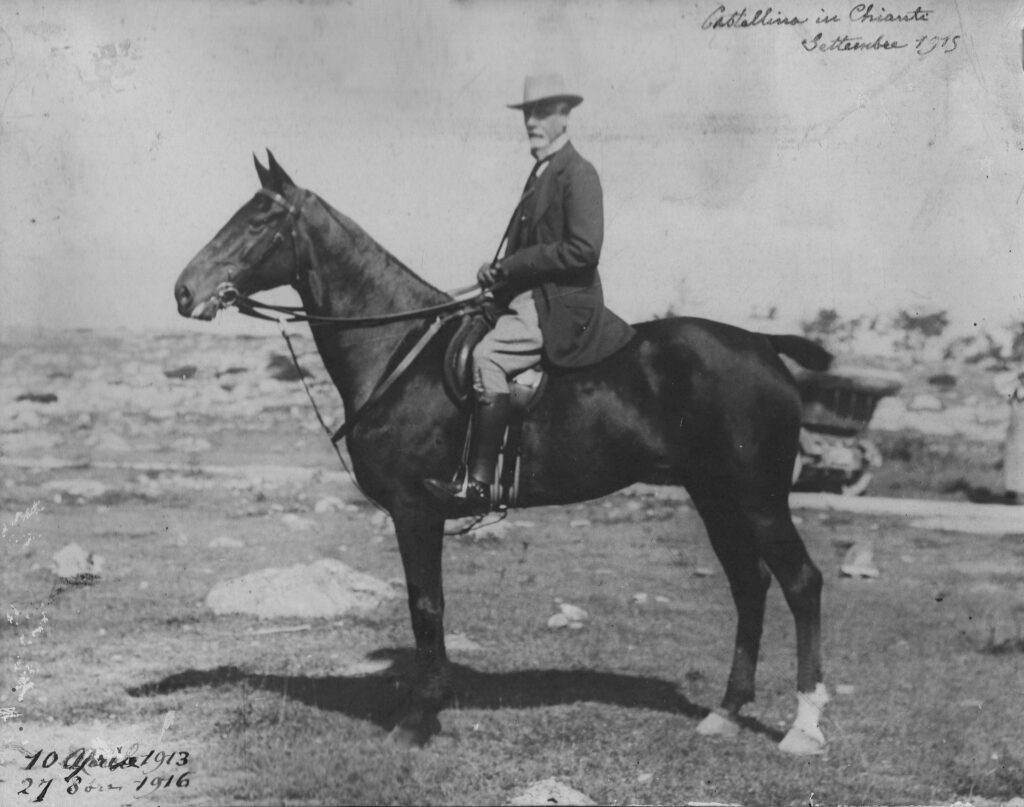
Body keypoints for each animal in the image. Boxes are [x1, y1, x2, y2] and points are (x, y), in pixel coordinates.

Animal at [174, 151, 833, 755]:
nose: (184, 291)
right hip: (714, 495)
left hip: (759, 498)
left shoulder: (415, 510)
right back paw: (727, 711)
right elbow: (428, 608)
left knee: (801, 582)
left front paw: (418, 717)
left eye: (259, 221)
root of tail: (763, 344)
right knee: (749, 585)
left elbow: (426, 606)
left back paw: (804, 727)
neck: (396, 349)